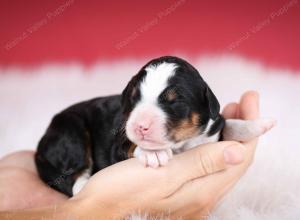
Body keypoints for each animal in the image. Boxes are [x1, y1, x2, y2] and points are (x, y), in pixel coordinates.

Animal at [34, 55, 274, 197]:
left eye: (174, 101)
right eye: (134, 98)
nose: (140, 126)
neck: (181, 146)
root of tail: (40, 146)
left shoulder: (211, 130)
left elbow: (225, 125)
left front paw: (255, 125)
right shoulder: (118, 142)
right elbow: (130, 146)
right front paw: (153, 153)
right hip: (70, 129)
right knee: (73, 175)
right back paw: (84, 184)